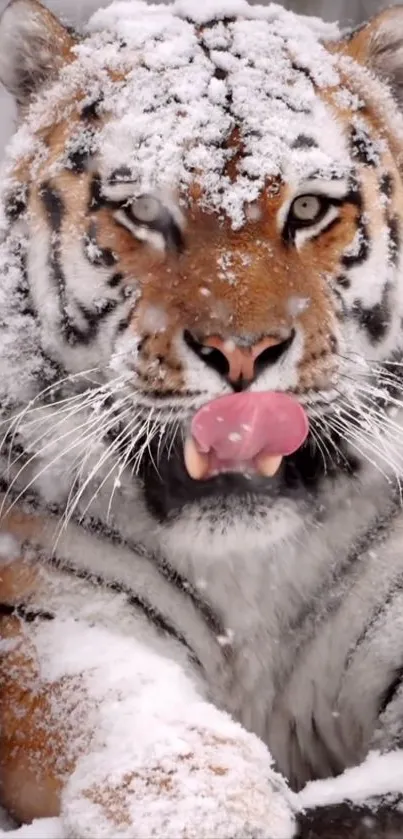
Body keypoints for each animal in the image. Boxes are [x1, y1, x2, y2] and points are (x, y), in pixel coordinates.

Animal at [2, 0, 403, 836]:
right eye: (142, 211)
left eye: (308, 208)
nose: (243, 352)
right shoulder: (45, 613)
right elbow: (121, 713)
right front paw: (209, 815)